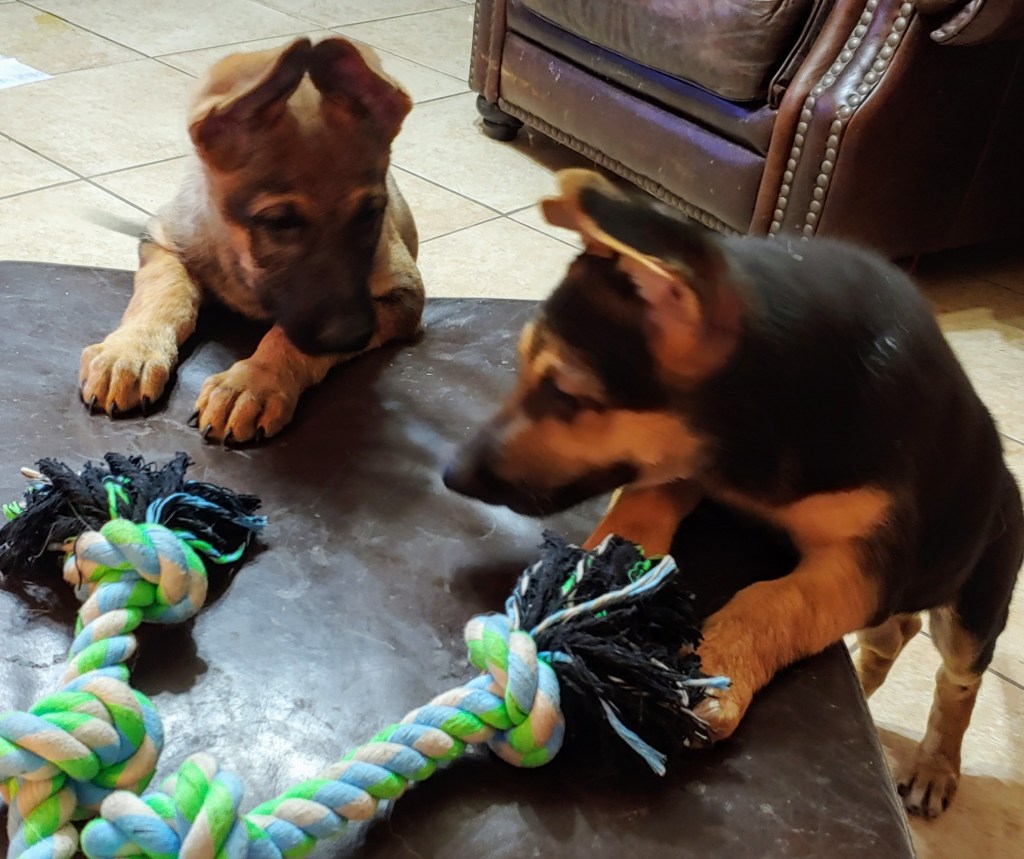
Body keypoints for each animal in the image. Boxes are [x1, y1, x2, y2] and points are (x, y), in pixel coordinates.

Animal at [79, 36, 424, 443]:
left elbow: (285, 337)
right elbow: (164, 295)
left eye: (371, 213)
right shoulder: (163, 241)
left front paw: (251, 383)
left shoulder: (404, 295)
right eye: (279, 222)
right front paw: (131, 352)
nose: (352, 335)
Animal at [444, 168, 1023, 818]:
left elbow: (774, 600)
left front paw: (712, 671)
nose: (451, 475)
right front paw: (599, 580)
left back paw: (934, 767)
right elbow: (640, 505)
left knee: (959, 678)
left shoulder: (871, 560)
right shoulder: (684, 460)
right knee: (894, 634)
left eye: (566, 392)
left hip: (974, 600)